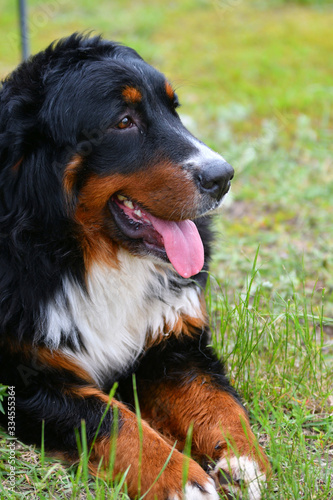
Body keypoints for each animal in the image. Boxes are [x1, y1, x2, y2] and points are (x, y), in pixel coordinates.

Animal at [0, 33, 268, 498]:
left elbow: (216, 399)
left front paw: (244, 457)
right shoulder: (23, 377)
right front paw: (179, 479)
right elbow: (109, 416)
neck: (91, 258)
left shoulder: (173, 342)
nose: (223, 176)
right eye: (124, 122)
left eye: (173, 109)